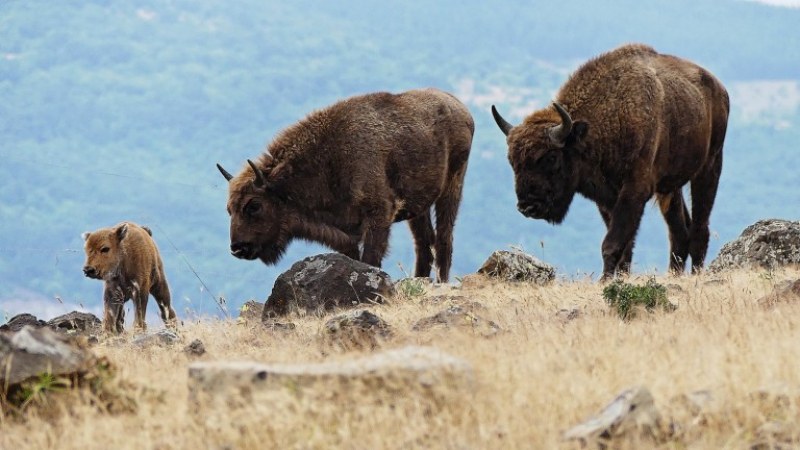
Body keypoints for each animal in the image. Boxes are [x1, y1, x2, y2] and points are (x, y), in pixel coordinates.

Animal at [490, 44, 728, 278]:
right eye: (512, 161)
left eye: (551, 157)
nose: (527, 207)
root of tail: (720, 90)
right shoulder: (606, 198)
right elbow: (625, 246)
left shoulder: (634, 192)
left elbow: (612, 243)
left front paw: (605, 280)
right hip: (669, 187)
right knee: (679, 231)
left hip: (709, 168)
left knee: (699, 228)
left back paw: (696, 274)